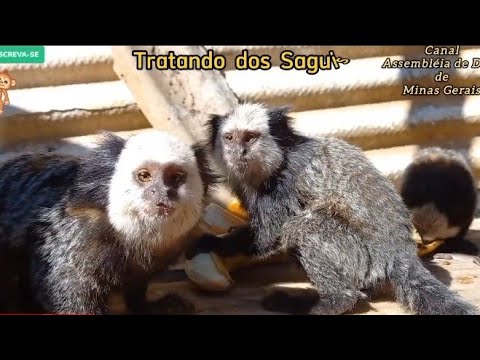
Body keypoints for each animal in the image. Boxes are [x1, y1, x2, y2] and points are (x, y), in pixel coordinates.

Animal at [0, 131, 218, 314]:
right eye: (144, 176)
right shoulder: (74, 236)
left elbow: (137, 283)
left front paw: (146, 306)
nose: (162, 192)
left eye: (175, 177)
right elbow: (68, 291)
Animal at [186, 102, 478, 314]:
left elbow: (268, 236)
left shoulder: (284, 183)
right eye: (229, 138)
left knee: (302, 228)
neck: (277, 161)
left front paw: (215, 243)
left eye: (250, 138)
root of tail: (400, 255)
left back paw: (332, 301)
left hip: (361, 255)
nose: (239, 152)